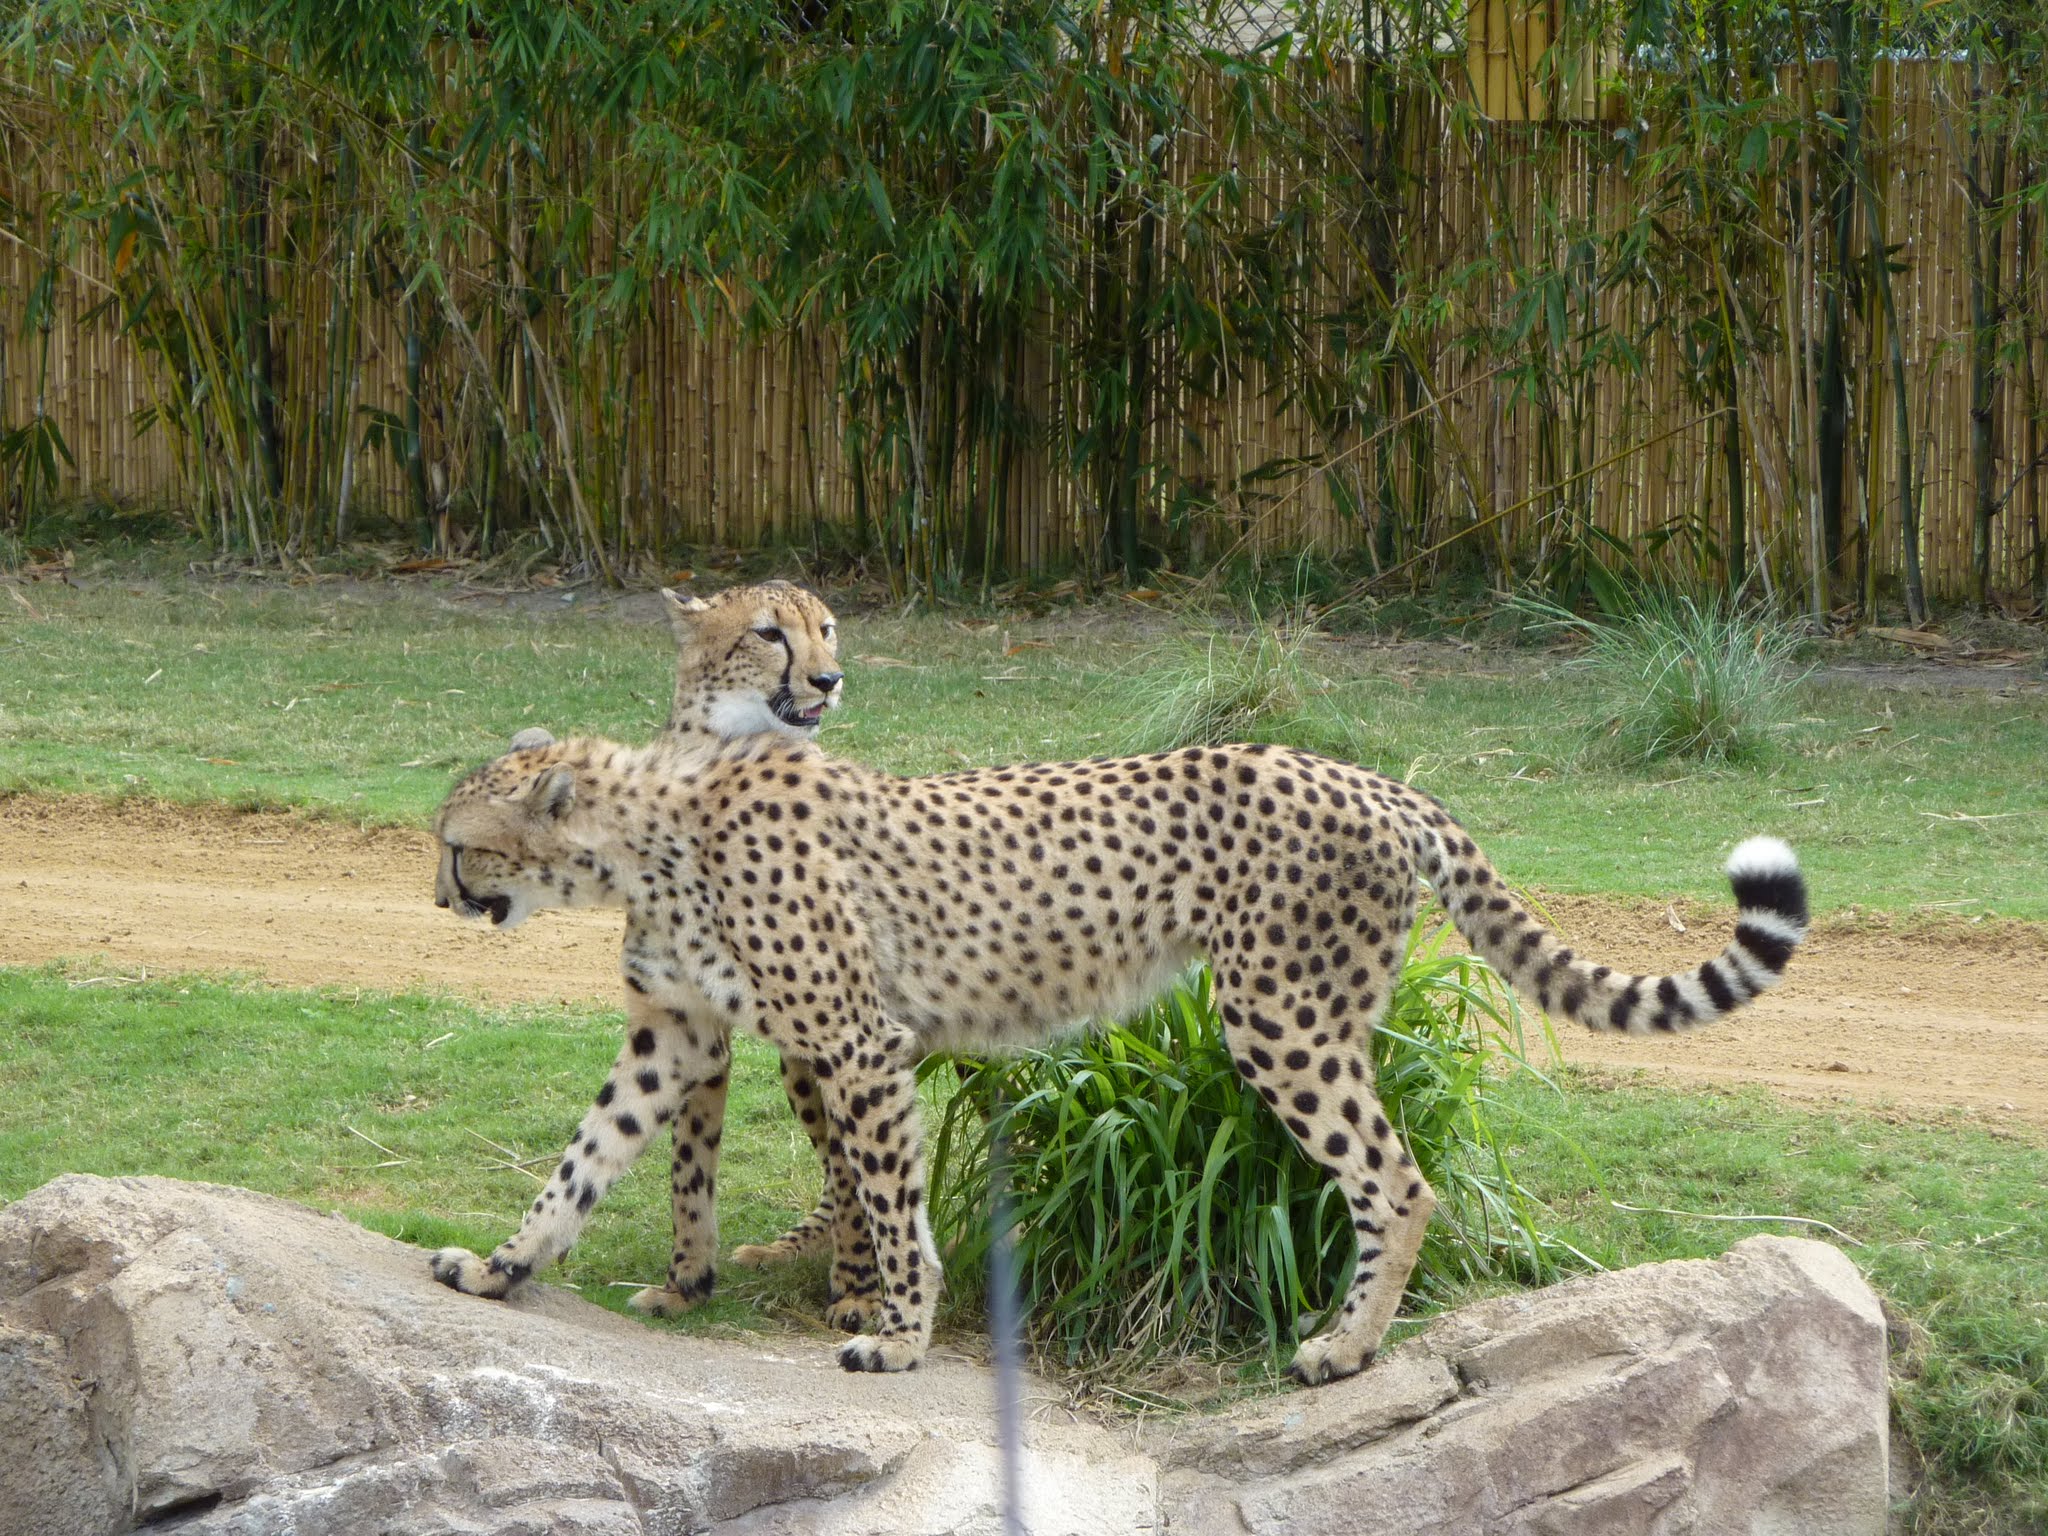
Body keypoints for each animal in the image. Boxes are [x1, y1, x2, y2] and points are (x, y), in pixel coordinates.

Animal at [426, 722, 1808, 1384]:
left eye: (461, 843)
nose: (440, 895)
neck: (639, 841)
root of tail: (1365, 777)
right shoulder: (675, 1031)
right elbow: (584, 1158)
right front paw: (499, 1267)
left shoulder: (862, 1045)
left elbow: (890, 1205)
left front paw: (897, 1335)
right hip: (1323, 1013)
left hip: (1274, 1016)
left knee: (1396, 1178)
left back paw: (1342, 1351)